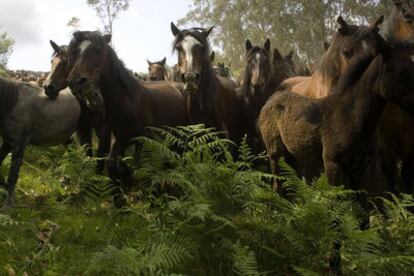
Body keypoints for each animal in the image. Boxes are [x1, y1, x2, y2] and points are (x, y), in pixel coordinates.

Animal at [0, 76, 80, 208]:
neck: (12, 102)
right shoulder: (7, 142)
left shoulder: (19, 144)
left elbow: (13, 175)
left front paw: (8, 204)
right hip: (67, 139)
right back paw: (66, 181)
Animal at [65, 31, 187, 206]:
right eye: (74, 52)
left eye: (97, 50)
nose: (75, 82)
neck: (127, 101)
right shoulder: (119, 137)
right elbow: (112, 162)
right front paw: (119, 198)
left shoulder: (140, 138)